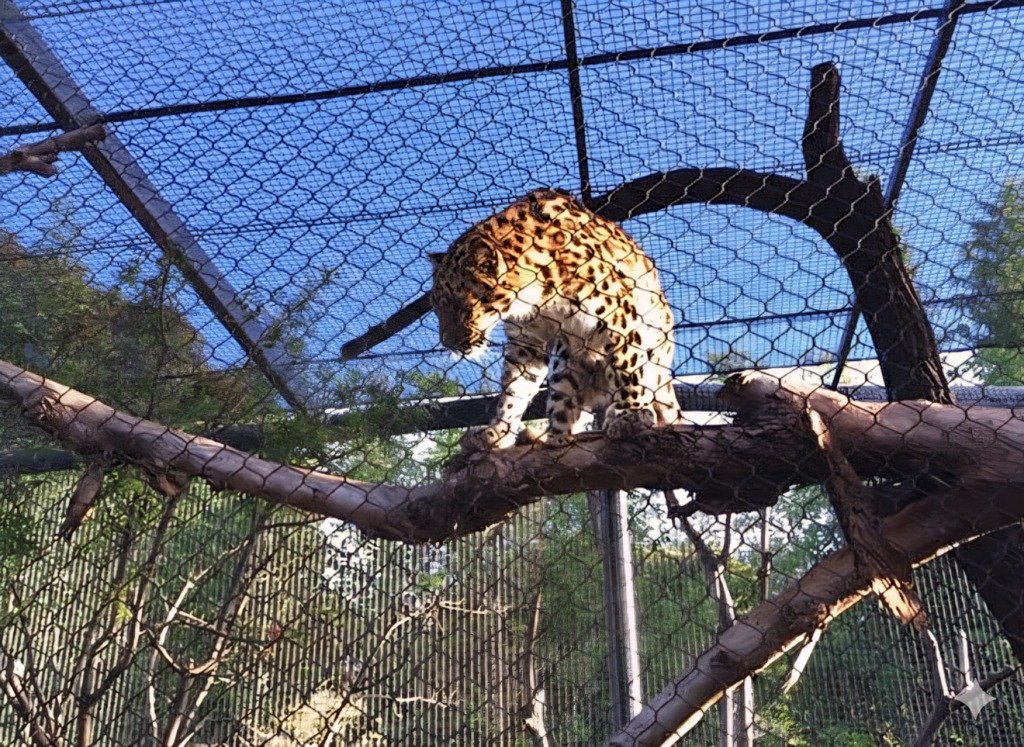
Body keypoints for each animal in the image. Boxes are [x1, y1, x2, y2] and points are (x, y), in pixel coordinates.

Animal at [429, 187, 682, 452]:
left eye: (460, 306)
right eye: (436, 308)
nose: (447, 344)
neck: (538, 296)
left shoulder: (618, 313)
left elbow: (627, 367)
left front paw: (630, 415)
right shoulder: (525, 341)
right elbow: (514, 390)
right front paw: (497, 432)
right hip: (564, 364)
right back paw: (549, 437)